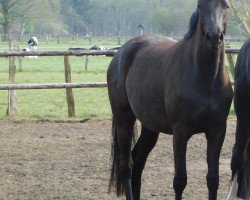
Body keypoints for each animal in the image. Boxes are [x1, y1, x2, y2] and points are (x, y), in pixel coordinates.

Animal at [106, 0, 233, 200]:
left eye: (226, 5)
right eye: (200, 5)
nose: (214, 36)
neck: (207, 78)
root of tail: (121, 53)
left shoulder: (217, 130)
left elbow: (213, 179)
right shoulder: (180, 132)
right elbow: (180, 180)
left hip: (150, 127)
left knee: (138, 161)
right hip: (123, 121)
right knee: (126, 166)